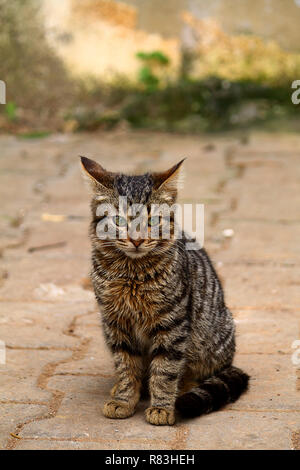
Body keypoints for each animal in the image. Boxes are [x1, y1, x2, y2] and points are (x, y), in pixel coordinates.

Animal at [81, 156, 250, 424]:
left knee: (197, 374)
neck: (131, 274)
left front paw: (162, 407)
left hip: (210, 342)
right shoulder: (116, 324)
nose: (136, 240)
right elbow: (126, 366)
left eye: (152, 221)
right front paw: (123, 399)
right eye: (119, 221)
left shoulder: (172, 325)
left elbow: (165, 370)